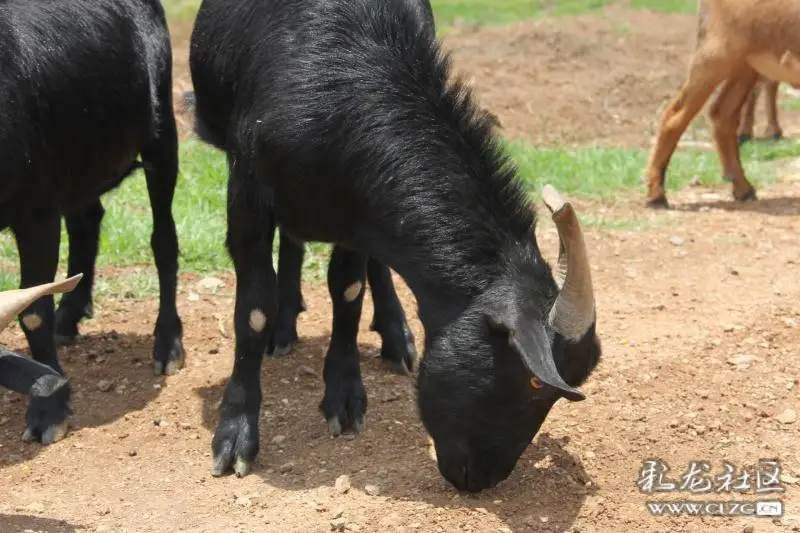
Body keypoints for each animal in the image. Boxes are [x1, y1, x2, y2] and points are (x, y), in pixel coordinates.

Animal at [0, 0, 184, 440]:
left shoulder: (37, 210)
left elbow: (33, 310)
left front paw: (48, 412)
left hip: (161, 135)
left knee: (163, 239)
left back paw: (167, 342)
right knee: (88, 220)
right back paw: (70, 313)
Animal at [189, 0, 600, 492]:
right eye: (537, 383)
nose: (483, 478)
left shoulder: (356, 212)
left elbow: (348, 289)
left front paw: (345, 396)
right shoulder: (247, 191)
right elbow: (253, 309)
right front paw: (235, 434)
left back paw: (393, 334)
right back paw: (285, 328)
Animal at [644, 0, 800, 208]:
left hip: (746, 64)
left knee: (723, 113)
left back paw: (743, 188)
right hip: (718, 53)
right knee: (676, 115)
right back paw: (656, 195)